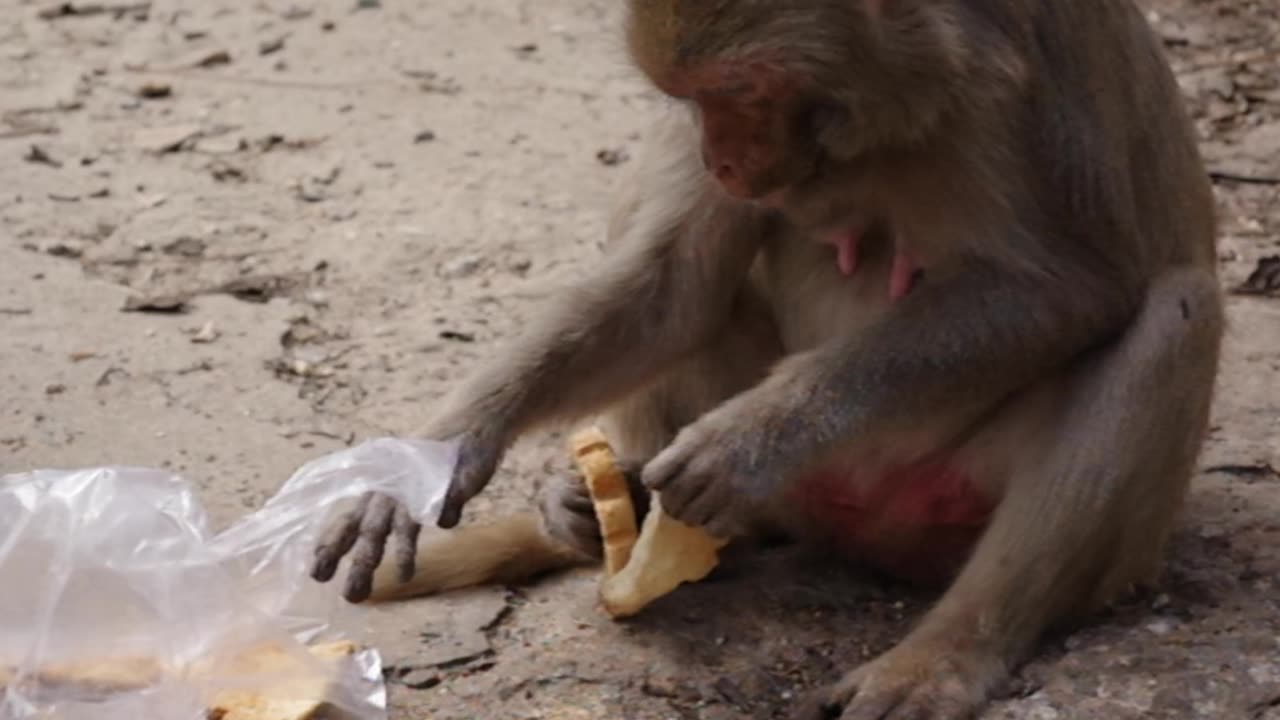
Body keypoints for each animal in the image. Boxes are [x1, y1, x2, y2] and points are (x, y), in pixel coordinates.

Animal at [309, 2, 1218, 712]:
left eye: (744, 90)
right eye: (693, 98)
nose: (721, 158)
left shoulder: (1015, 85)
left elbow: (1069, 287)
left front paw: (750, 438)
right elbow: (673, 286)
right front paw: (421, 461)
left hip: (1021, 521)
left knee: (1173, 316)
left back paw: (947, 651)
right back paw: (609, 509)